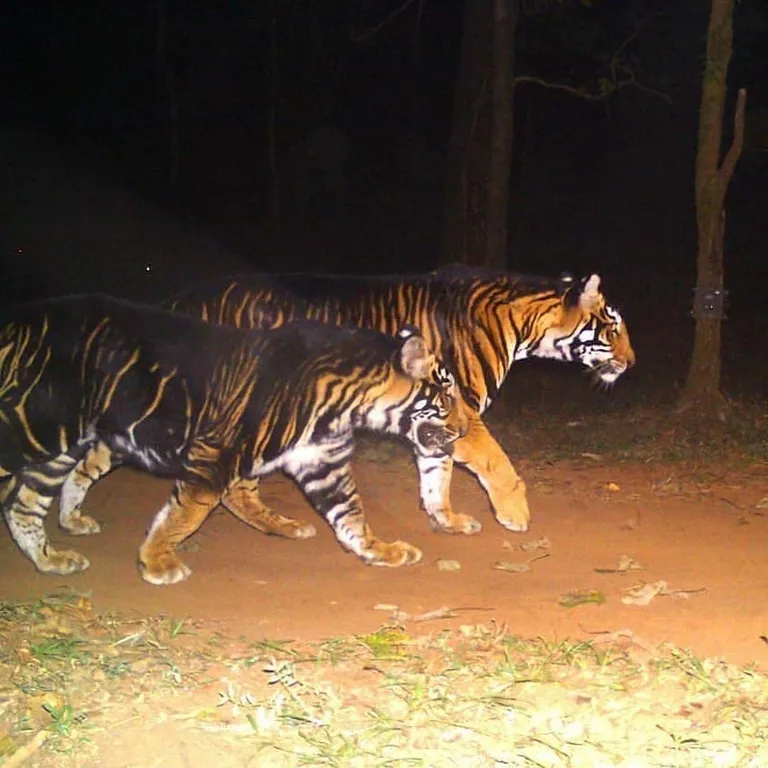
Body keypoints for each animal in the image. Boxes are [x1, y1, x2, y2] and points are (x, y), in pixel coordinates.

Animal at [0, 295, 467, 584]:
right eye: (447, 395)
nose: (465, 427)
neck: (350, 404)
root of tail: (15, 319)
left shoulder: (322, 463)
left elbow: (350, 516)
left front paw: (381, 551)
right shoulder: (215, 455)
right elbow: (185, 514)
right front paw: (156, 563)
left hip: (61, 448)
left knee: (26, 505)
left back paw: (50, 559)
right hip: (32, 429)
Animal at [60, 266, 635, 539]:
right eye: (612, 327)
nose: (632, 363)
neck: (523, 322)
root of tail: (180, 300)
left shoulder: (436, 418)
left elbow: (437, 475)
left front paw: (446, 520)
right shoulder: (460, 407)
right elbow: (493, 459)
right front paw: (515, 514)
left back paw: (70, 521)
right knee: (230, 484)